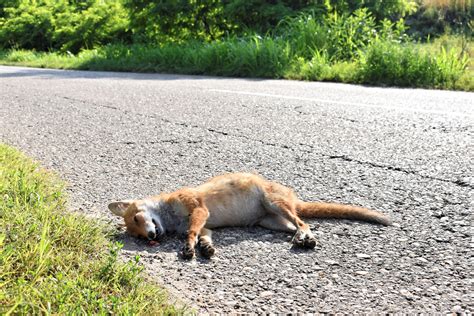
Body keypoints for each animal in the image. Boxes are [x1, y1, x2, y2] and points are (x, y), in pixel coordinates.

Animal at [109, 173, 390, 260]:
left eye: (137, 219)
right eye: (137, 236)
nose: (151, 236)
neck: (171, 218)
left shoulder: (198, 209)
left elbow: (191, 232)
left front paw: (188, 247)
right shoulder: (206, 226)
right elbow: (204, 237)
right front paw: (205, 248)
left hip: (275, 204)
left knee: (304, 221)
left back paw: (305, 237)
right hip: (273, 223)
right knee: (298, 226)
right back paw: (302, 238)